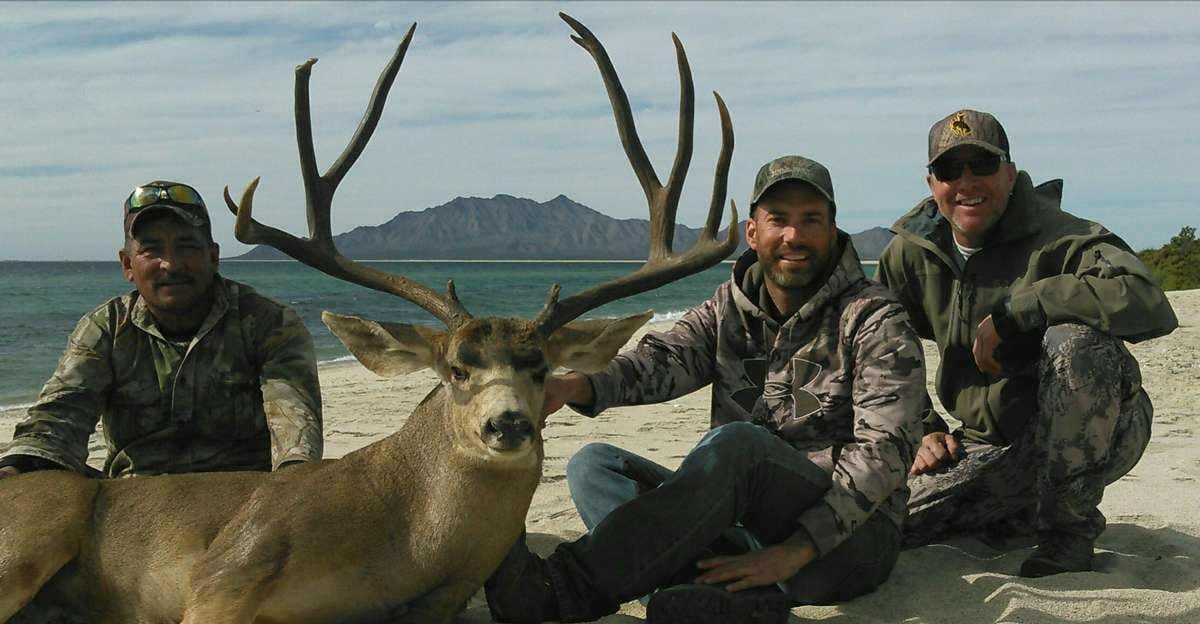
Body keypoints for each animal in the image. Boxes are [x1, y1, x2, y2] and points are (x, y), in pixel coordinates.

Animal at [0, 13, 736, 624]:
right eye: (456, 370)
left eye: (539, 367)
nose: (507, 424)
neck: (400, 538)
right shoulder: (224, 573)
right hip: (34, 533)